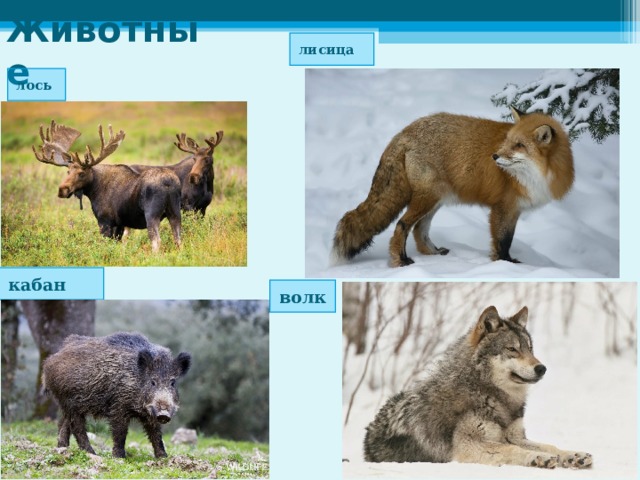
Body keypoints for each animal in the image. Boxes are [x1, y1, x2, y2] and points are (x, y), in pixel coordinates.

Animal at [33, 120, 182, 253]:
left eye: (81, 173)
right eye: (68, 171)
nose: (62, 190)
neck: (94, 190)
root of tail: (168, 183)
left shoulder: (105, 221)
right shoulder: (120, 224)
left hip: (152, 214)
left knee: (156, 241)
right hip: (175, 212)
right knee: (179, 240)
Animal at [363, 306, 592, 469]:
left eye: (530, 348)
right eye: (512, 349)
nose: (542, 368)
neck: (489, 393)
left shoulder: (516, 436)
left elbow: (549, 445)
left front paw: (572, 455)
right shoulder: (469, 446)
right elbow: (510, 450)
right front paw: (538, 457)